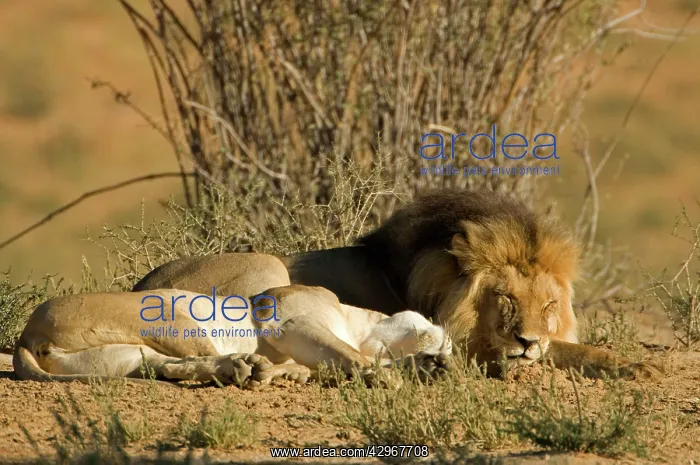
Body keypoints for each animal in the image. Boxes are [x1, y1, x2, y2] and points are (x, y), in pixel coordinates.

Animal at [13, 254, 451, 387]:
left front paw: (425, 367)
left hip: (126, 355)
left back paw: (244, 368)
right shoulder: (287, 323)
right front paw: (394, 376)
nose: (448, 353)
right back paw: (246, 368)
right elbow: (353, 355)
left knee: (171, 366)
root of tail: (24, 337)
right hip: (171, 314)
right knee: (195, 358)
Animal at [131, 188, 662, 380]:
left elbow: (576, 349)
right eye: (506, 298)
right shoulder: (463, 339)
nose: (528, 340)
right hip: (268, 267)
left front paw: (632, 366)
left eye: (550, 305)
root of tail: (143, 282)